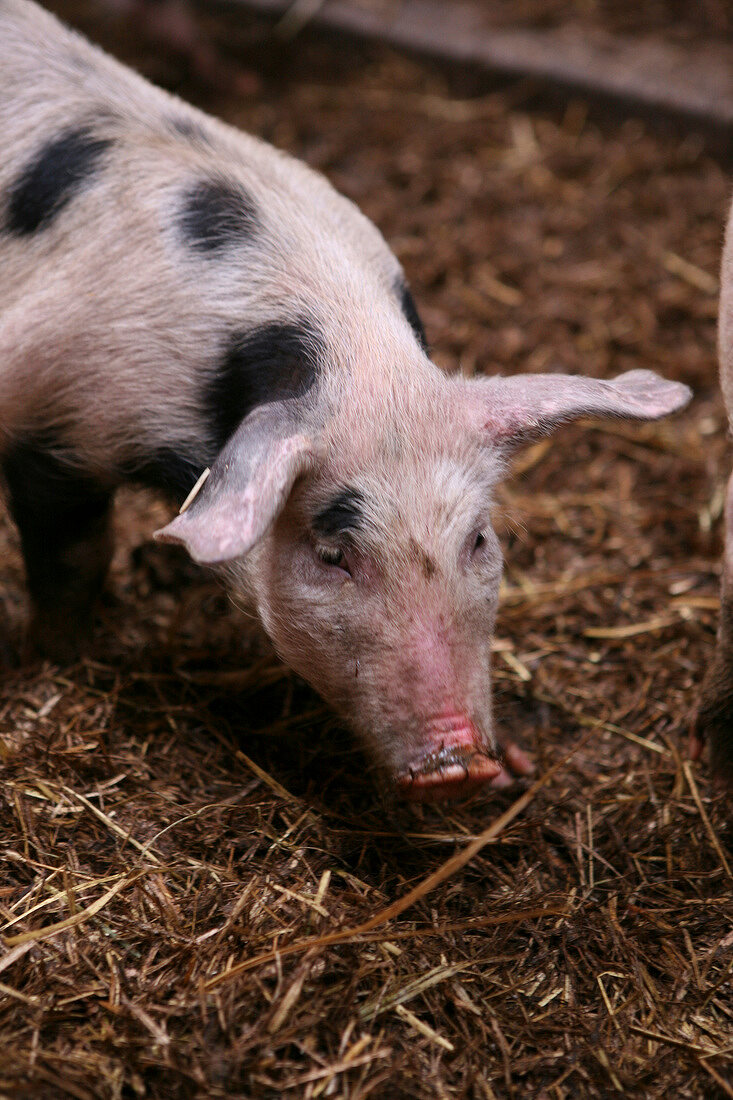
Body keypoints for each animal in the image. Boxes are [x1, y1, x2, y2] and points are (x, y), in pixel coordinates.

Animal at [0, 0, 686, 800]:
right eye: (332, 554)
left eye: (479, 541)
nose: (459, 765)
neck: (360, 361)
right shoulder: (53, 420)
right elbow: (75, 557)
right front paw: (61, 658)